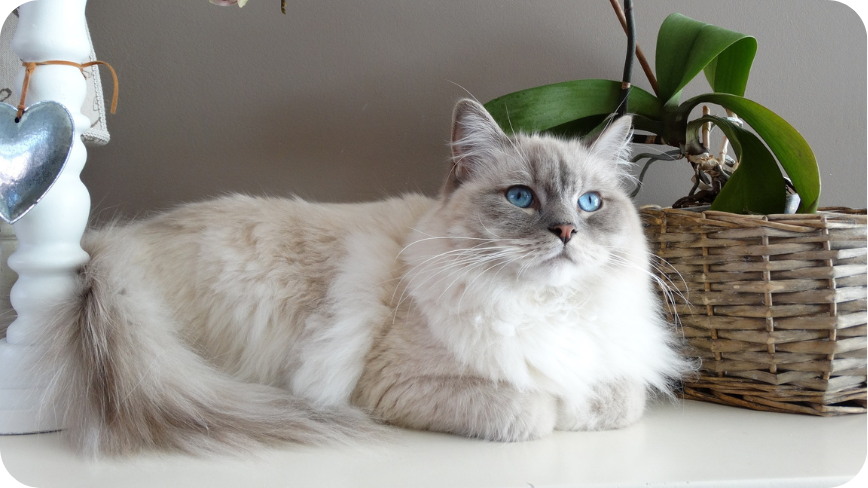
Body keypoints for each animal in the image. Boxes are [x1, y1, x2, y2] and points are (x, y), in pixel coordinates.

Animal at [35, 100, 692, 458]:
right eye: (521, 198)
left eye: (589, 203)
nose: (566, 232)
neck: (543, 309)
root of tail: (113, 245)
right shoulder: (395, 385)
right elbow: (534, 409)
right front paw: (558, 409)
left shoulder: (613, 376)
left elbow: (615, 399)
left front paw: (582, 407)